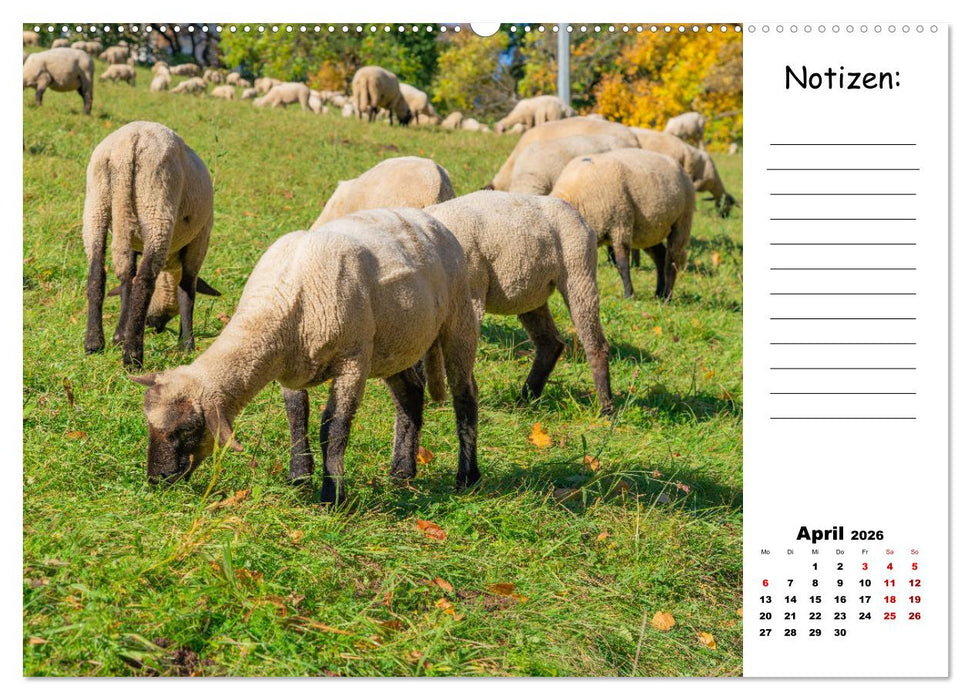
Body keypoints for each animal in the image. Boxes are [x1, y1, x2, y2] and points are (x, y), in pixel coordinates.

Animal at [83, 121, 215, 368]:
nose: (157, 326)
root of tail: (131, 141)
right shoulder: (200, 239)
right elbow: (188, 289)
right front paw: (187, 344)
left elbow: (127, 281)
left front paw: (119, 335)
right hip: (157, 201)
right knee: (144, 280)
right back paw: (133, 356)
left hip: (97, 202)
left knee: (98, 272)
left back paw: (95, 343)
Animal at [129, 209, 481, 506]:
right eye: (148, 424)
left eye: (188, 429)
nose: (157, 479)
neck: (277, 300)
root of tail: (427, 218)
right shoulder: (289, 364)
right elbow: (297, 417)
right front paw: (298, 476)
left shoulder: (353, 360)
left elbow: (333, 428)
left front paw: (332, 496)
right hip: (395, 343)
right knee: (410, 393)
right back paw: (402, 471)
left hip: (459, 318)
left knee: (465, 395)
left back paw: (468, 477)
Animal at [425, 191, 613, 415]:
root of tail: (581, 218)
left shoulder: (471, 295)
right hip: (531, 292)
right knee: (551, 343)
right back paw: (526, 399)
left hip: (578, 271)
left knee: (595, 343)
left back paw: (607, 409)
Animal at [551, 149, 695, 300]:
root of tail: (680, 167)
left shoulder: (620, 225)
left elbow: (622, 264)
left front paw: (628, 295)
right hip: (648, 230)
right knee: (660, 256)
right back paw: (658, 294)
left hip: (682, 221)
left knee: (672, 261)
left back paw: (667, 296)